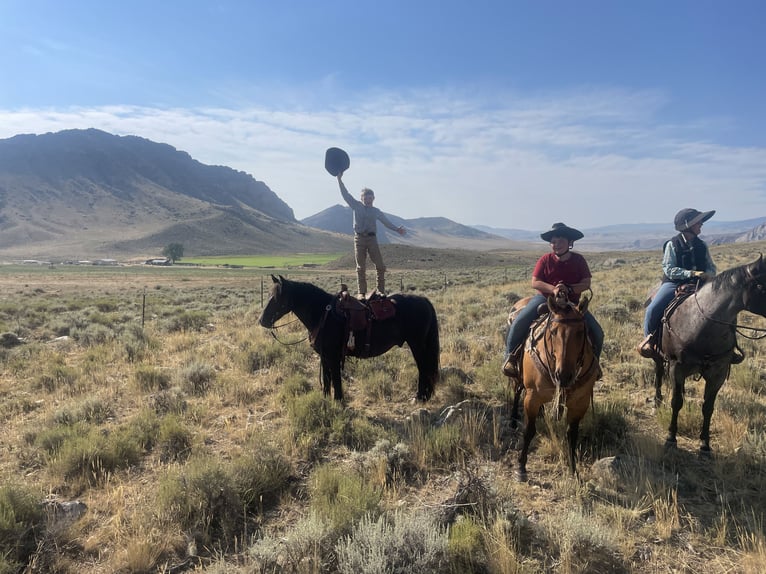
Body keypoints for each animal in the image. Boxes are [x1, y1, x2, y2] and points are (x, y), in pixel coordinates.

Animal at [260, 276, 440, 402]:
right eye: (268, 294)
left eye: (277, 297)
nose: (262, 320)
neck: (322, 314)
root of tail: (424, 300)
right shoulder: (324, 356)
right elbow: (327, 380)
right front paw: (326, 401)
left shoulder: (333, 356)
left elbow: (336, 380)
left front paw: (339, 402)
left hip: (417, 344)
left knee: (423, 368)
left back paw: (420, 397)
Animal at [512, 290, 604, 484]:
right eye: (553, 332)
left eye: (581, 332)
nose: (563, 375)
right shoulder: (531, 397)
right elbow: (529, 430)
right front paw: (521, 467)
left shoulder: (580, 403)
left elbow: (572, 435)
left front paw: (573, 470)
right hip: (518, 378)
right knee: (516, 391)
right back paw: (512, 420)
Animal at [652, 256, 766, 454]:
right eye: (763, 285)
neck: (702, 325)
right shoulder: (676, 368)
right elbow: (676, 402)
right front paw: (671, 437)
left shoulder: (718, 373)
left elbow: (708, 408)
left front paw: (705, 444)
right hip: (659, 355)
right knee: (659, 372)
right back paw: (657, 400)